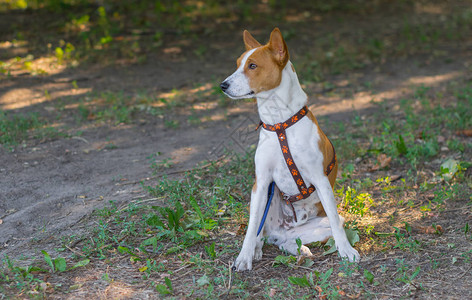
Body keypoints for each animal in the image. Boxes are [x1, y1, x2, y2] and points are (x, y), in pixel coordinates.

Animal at [219, 28, 360, 272]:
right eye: (238, 64)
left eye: (253, 66)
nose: (223, 85)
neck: (280, 124)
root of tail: (283, 228)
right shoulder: (261, 182)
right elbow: (251, 228)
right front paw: (244, 257)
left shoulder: (320, 180)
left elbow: (335, 221)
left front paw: (346, 251)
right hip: (264, 200)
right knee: (261, 234)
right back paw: (258, 249)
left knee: (288, 240)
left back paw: (300, 251)